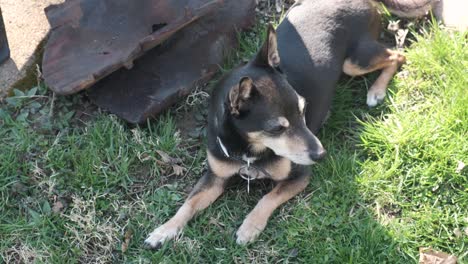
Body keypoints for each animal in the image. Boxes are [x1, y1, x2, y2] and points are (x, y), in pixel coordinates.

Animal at [145, 0, 406, 248]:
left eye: (303, 110)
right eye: (277, 128)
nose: (321, 155)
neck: (248, 152)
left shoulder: (299, 176)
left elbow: (267, 198)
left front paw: (250, 227)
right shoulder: (214, 177)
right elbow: (188, 203)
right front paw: (164, 230)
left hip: (354, 61)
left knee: (398, 55)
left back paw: (376, 91)